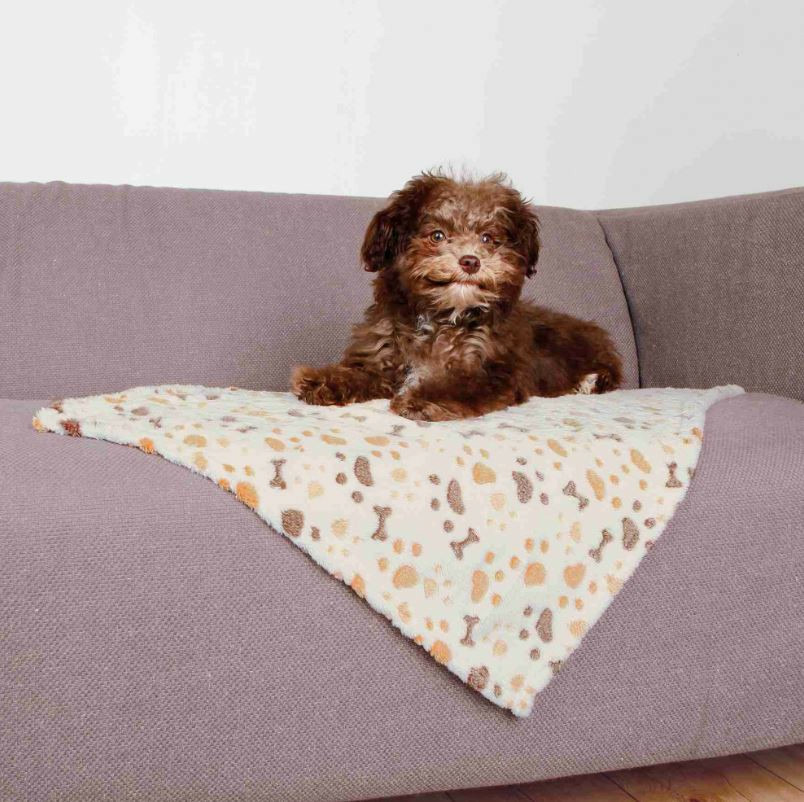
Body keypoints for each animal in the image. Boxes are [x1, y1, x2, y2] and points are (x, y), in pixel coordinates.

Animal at [291, 171, 622, 420]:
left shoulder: (492, 370)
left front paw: (421, 400)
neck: (440, 316)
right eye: (437, 235)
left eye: (488, 239)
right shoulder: (383, 354)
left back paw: (586, 382)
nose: (470, 261)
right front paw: (322, 380)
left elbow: (460, 383)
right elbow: (361, 372)